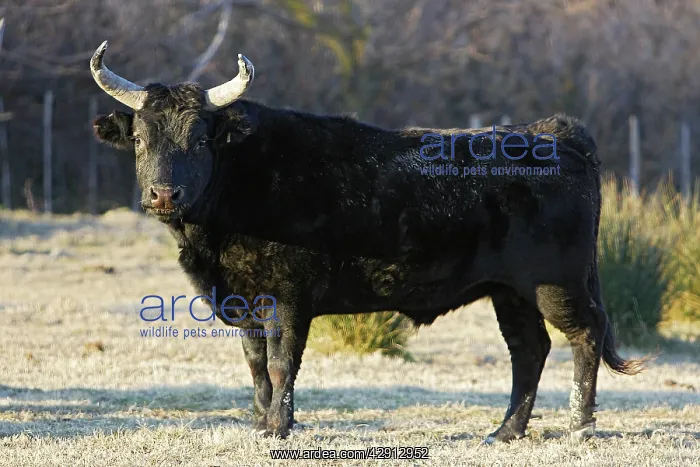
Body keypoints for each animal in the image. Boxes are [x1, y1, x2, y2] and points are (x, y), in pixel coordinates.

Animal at [89, 41, 645, 442]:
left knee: (584, 335)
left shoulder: (290, 298)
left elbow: (282, 362)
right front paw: (260, 422)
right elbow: (256, 366)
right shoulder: (244, 301)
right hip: (510, 292)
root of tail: (552, 133)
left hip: (556, 284)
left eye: (201, 138)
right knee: (529, 350)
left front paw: (278, 428)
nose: (164, 193)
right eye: (139, 139)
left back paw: (579, 428)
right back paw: (504, 432)